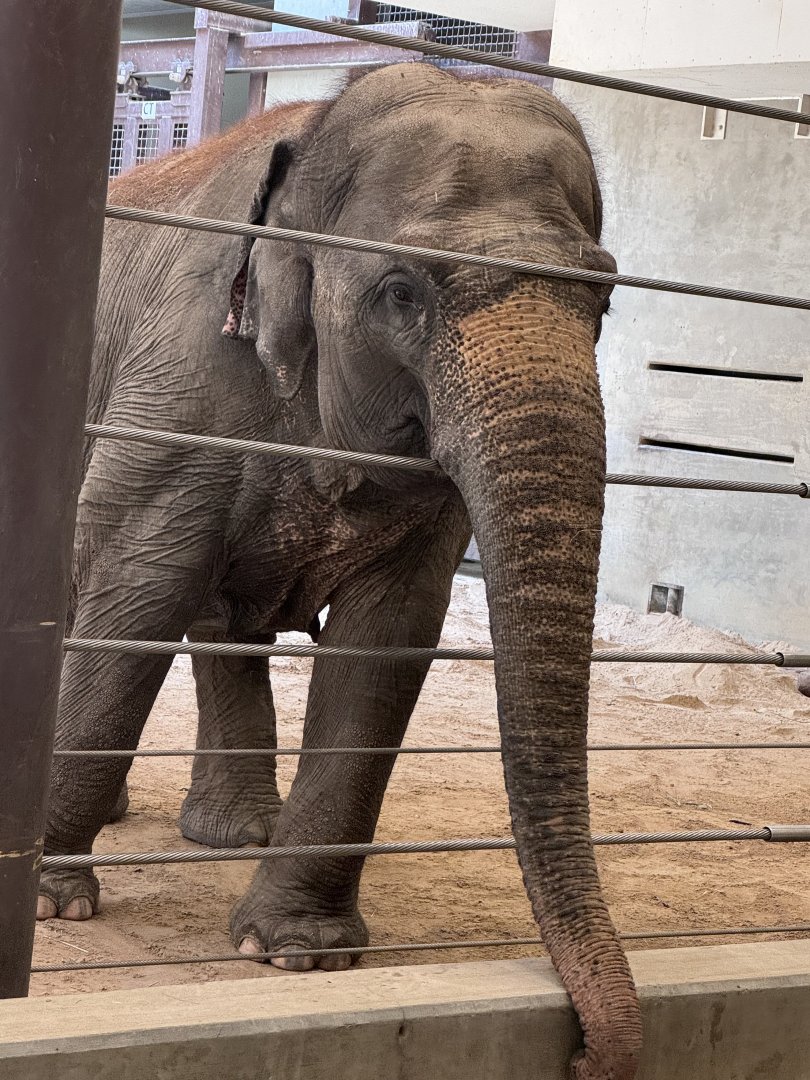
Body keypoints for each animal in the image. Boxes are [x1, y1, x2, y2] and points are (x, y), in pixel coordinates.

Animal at [37, 64, 640, 1079]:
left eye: (603, 300)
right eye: (401, 292)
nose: (591, 1056)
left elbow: (386, 642)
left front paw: (297, 953)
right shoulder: (175, 388)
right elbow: (135, 592)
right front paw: (50, 901)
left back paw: (231, 833)